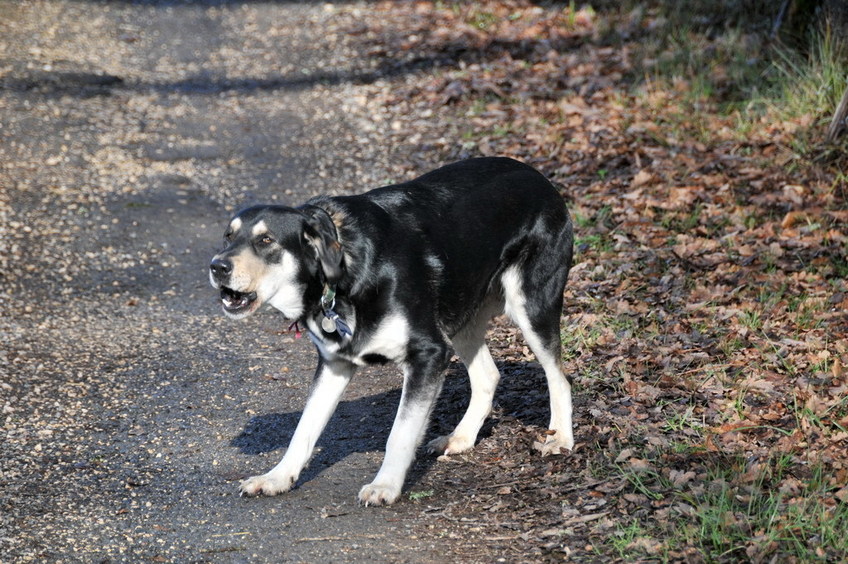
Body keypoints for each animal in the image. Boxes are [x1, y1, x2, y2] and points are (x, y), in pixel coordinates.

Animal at [209, 156, 572, 504]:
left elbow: (400, 432)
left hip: (530, 307)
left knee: (559, 378)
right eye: (228, 236)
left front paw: (385, 485)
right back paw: (461, 438)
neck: (344, 266)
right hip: (460, 320)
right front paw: (278, 477)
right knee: (488, 376)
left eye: (266, 240)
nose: (216, 266)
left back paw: (561, 439)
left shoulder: (429, 354)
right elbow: (304, 428)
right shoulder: (334, 365)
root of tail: (538, 177)